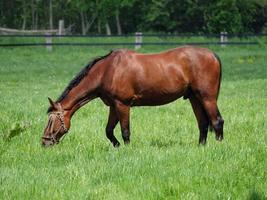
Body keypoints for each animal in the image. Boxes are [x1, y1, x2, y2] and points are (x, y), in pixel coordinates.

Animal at [42, 46, 225, 148]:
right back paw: (201, 147)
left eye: (51, 120)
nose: (44, 142)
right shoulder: (113, 106)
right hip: (194, 98)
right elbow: (108, 131)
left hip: (207, 97)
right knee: (203, 124)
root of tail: (213, 55)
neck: (107, 70)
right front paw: (116, 146)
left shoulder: (123, 105)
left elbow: (125, 131)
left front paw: (127, 149)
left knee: (217, 121)